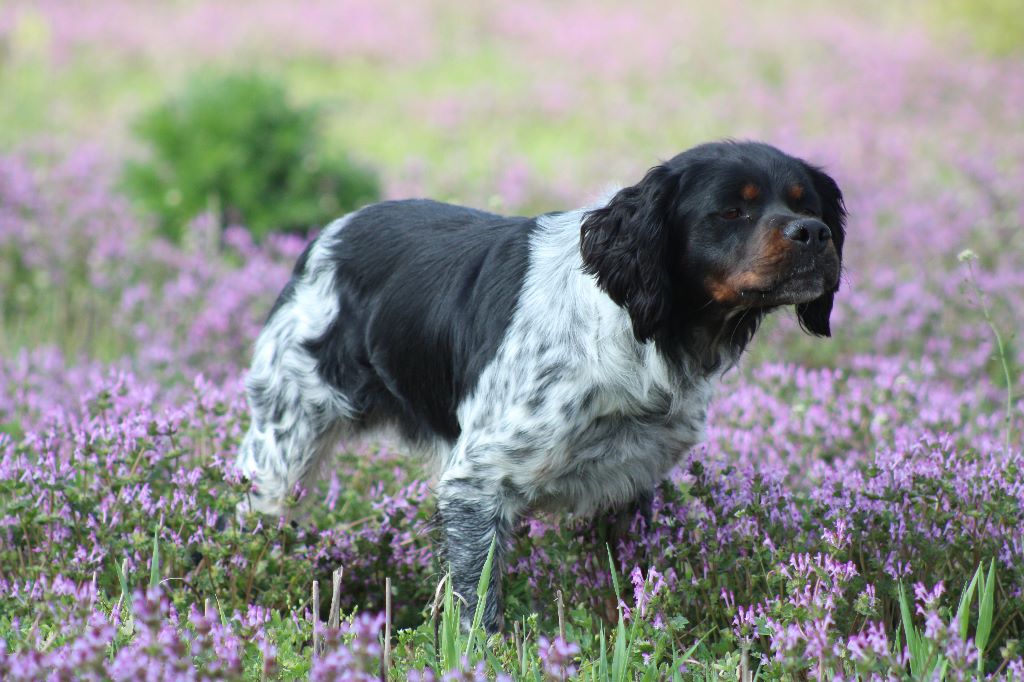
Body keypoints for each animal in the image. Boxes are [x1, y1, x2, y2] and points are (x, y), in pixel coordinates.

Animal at [235, 139, 843, 630]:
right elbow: (477, 607)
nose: (813, 234)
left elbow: (621, 591)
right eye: (732, 210)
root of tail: (327, 235)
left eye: (807, 205)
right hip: (281, 449)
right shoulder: (476, 483)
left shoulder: (628, 483)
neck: (637, 329)